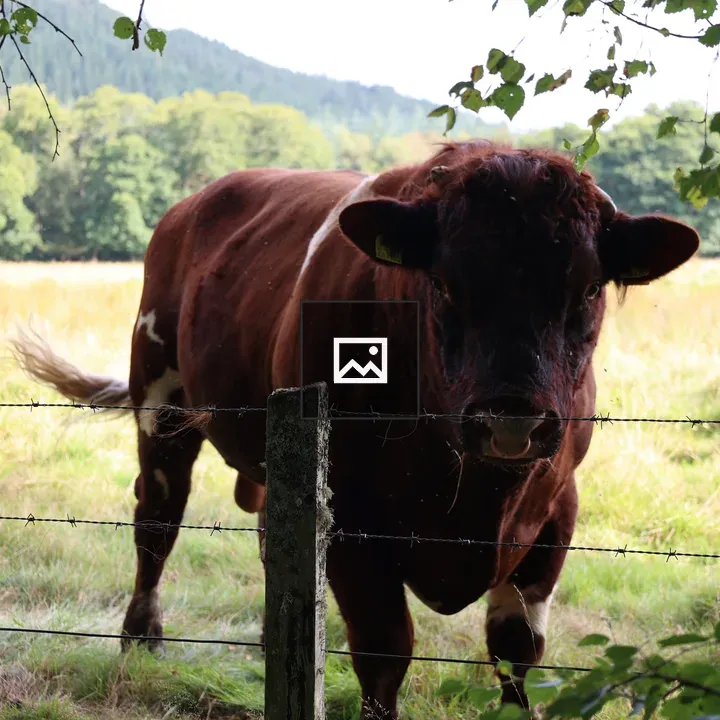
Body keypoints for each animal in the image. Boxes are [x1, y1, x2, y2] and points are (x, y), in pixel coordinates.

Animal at [11, 140, 699, 719]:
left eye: (588, 288)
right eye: (443, 283)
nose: (513, 419)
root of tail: (190, 205)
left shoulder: (557, 510)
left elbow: (515, 647)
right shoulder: (350, 517)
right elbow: (383, 649)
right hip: (162, 402)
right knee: (157, 522)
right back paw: (141, 639)